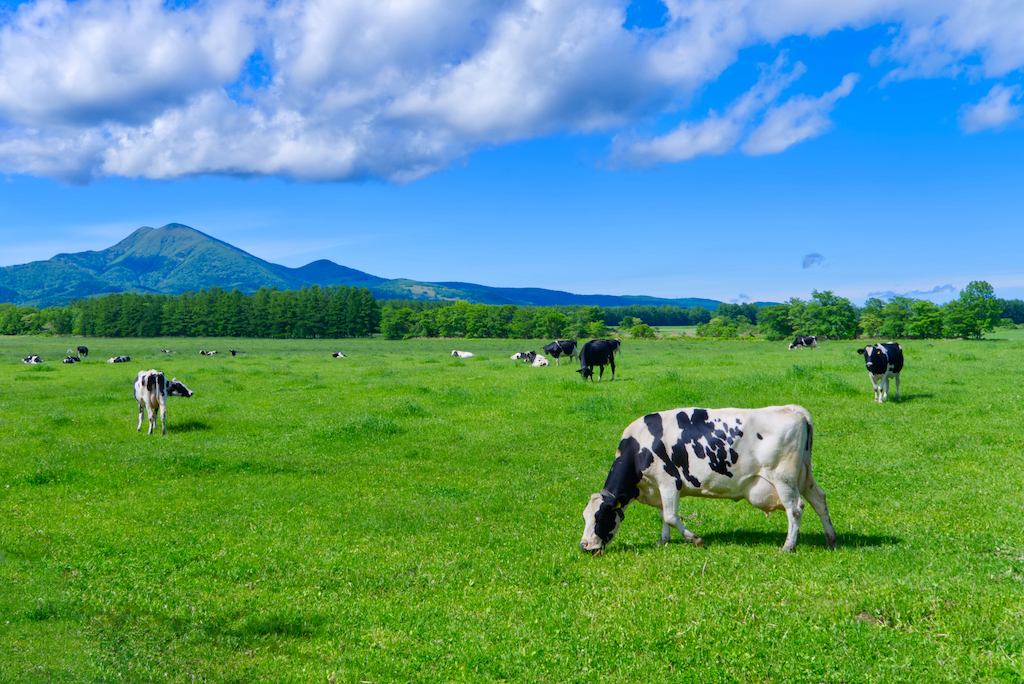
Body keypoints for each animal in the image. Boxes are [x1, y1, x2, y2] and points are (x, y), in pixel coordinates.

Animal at [581, 403, 835, 552]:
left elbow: (671, 516)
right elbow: (664, 515)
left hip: (783, 477)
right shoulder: (659, 487)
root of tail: (793, 409)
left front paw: (695, 539)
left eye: (600, 517)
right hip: (804, 476)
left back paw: (788, 546)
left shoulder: (669, 482)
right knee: (819, 500)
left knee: (795, 508)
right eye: (585, 517)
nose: (584, 545)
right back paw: (831, 539)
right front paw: (663, 541)